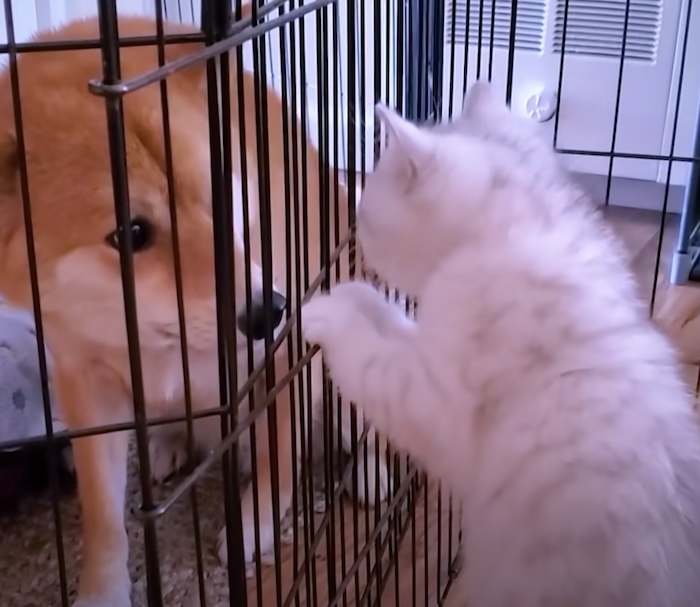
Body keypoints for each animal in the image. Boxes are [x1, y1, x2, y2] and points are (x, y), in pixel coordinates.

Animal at [0, 7, 390, 606]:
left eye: (219, 194)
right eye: (132, 233)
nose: (268, 310)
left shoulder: (285, 356)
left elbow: (278, 457)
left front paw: (254, 526)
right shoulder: (86, 382)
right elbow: (104, 519)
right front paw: (102, 589)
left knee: (367, 428)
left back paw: (369, 471)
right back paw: (167, 445)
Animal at [301, 80, 700, 607]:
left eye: (365, 217)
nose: (356, 239)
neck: (523, 231)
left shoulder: (434, 401)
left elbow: (370, 360)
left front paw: (327, 311)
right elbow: (392, 324)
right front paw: (356, 294)